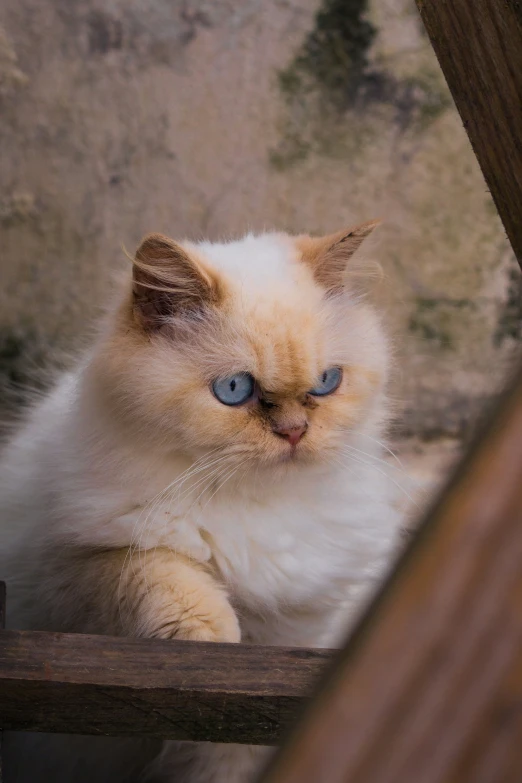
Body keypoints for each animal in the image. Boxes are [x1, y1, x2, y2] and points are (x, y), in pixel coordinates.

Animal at [0, 222, 400, 783]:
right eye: (234, 389)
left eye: (326, 383)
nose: (294, 432)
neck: (255, 505)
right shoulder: (71, 570)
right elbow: (161, 574)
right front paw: (211, 640)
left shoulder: (294, 631)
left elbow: (230, 756)